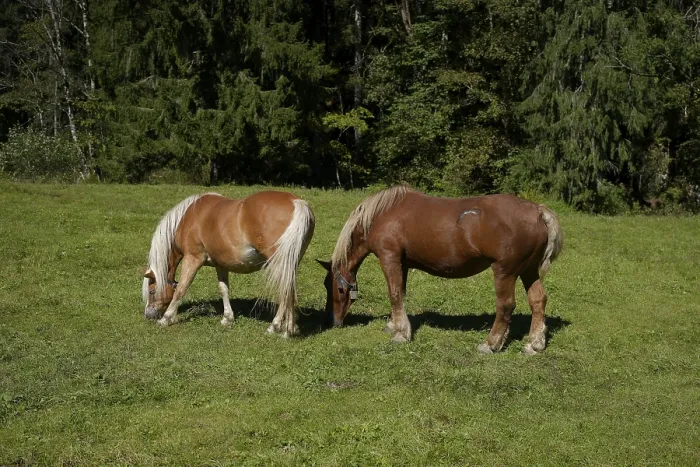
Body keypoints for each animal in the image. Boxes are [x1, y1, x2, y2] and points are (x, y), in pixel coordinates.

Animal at [142, 191, 315, 337]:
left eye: (152, 291)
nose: (148, 315)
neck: (188, 218)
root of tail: (297, 202)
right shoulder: (221, 264)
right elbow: (223, 289)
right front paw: (227, 318)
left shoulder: (192, 259)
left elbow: (181, 289)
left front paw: (166, 319)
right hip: (289, 263)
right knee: (290, 290)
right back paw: (288, 330)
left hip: (278, 263)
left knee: (285, 292)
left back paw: (275, 326)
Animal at [317, 186, 563, 354]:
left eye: (338, 289)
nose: (331, 321)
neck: (381, 215)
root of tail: (537, 210)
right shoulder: (402, 263)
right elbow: (400, 293)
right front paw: (394, 325)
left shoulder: (390, 258)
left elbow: (394, 294)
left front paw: (401, 334)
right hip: (528, 270)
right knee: (538, 300)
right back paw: (535, 343)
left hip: (505, 271)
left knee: (505, 306)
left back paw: (490, 344)